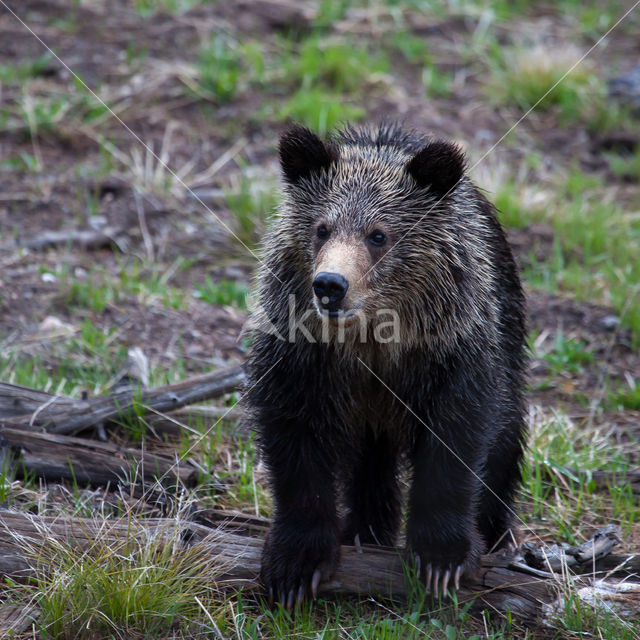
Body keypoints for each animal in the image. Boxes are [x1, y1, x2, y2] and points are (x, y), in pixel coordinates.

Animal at [242, 122, 528, 608]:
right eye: (322, 228)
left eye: (378, 235)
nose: (329, 285)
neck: (372, 338)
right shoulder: (302, 361)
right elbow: (295, 443)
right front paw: (296, 564)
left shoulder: (452, 353)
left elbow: (458, 437)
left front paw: (443, 557)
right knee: (369, 465)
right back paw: (366, 531)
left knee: (507, 438)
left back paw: (497, 534)